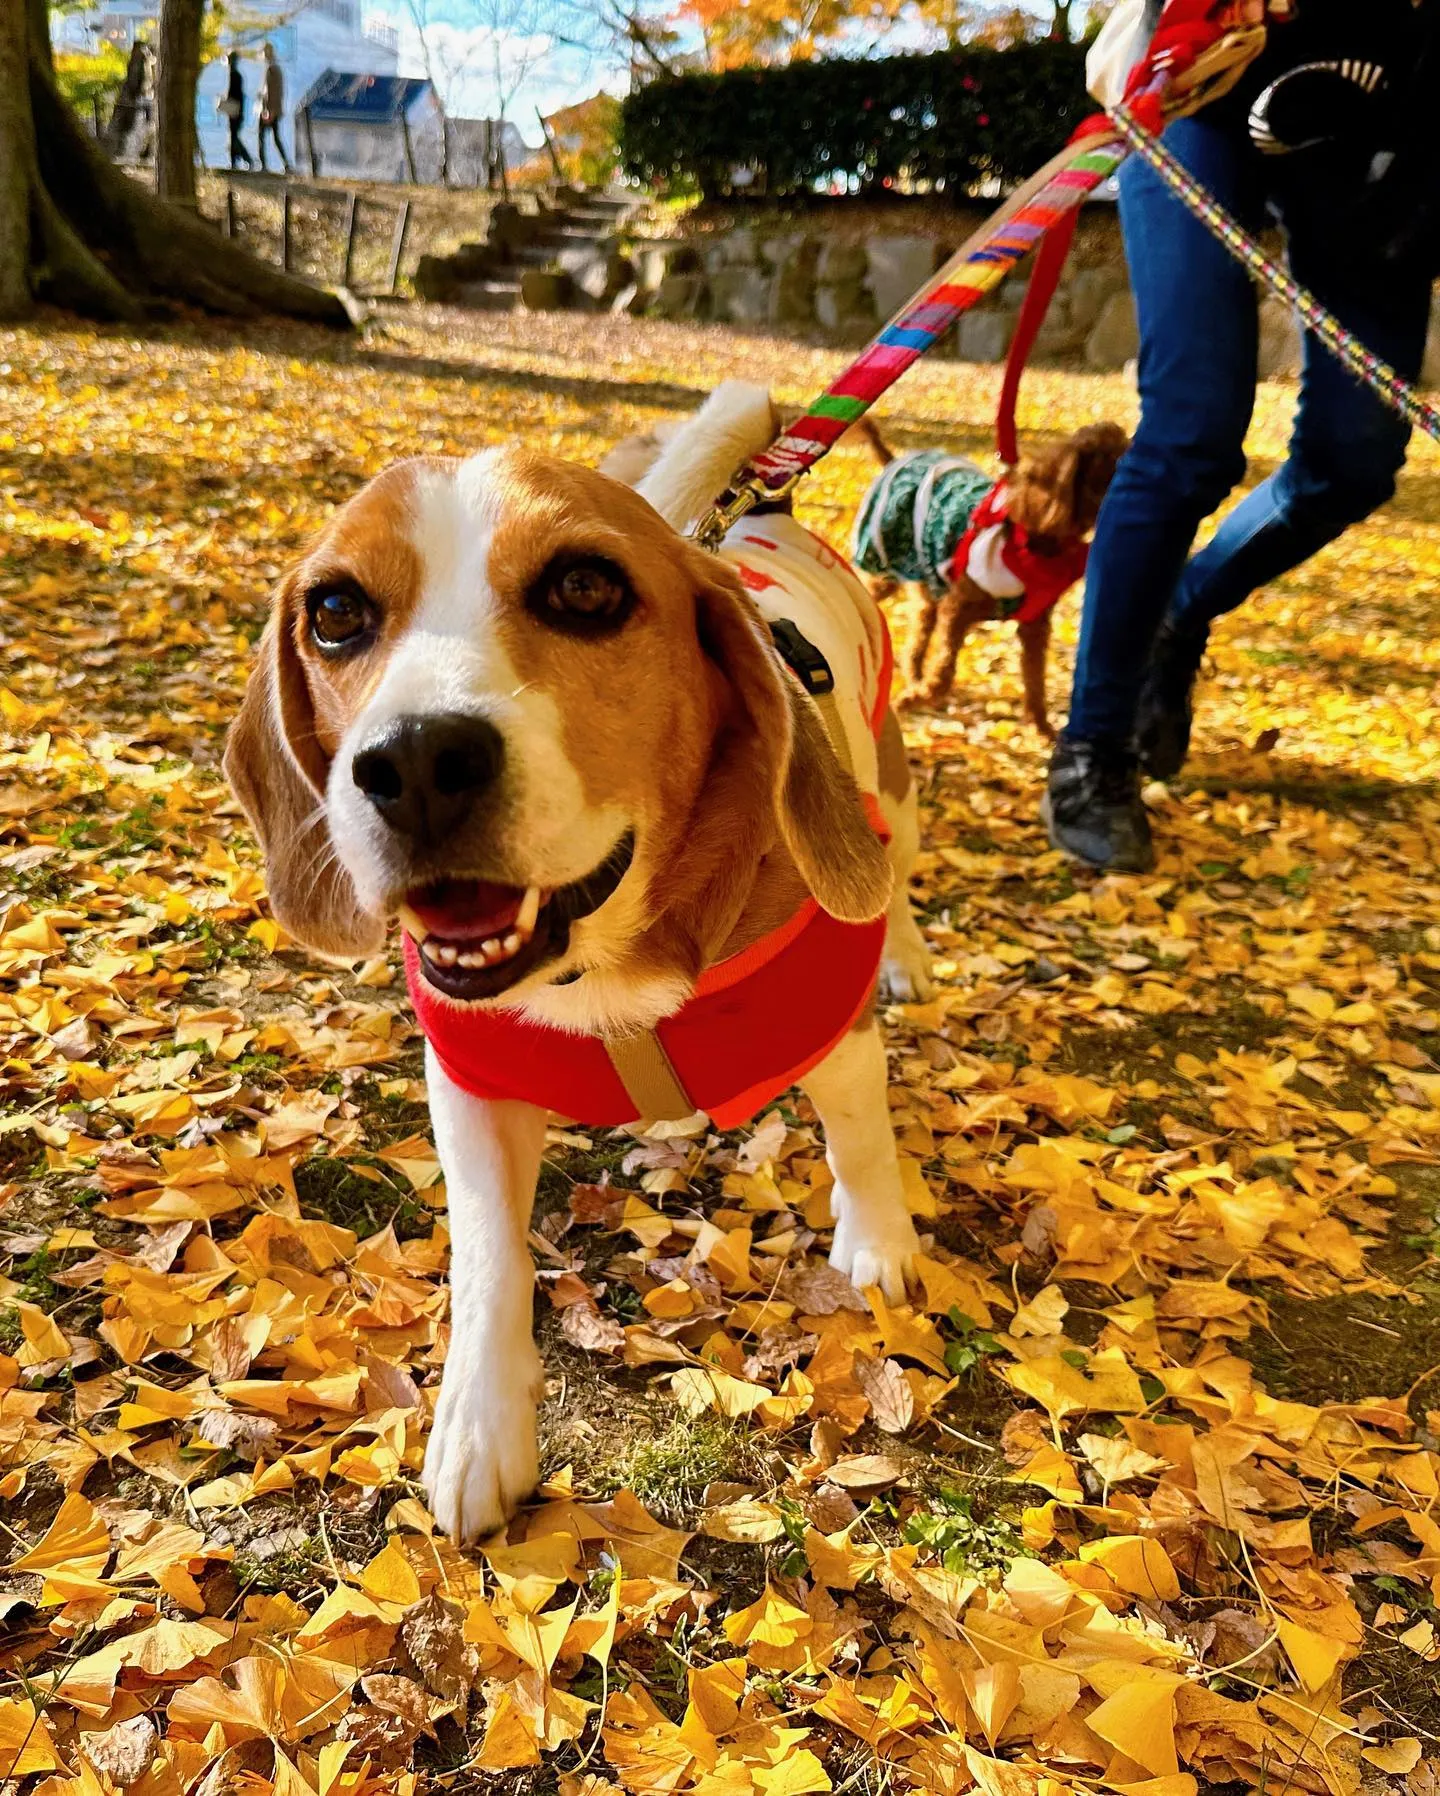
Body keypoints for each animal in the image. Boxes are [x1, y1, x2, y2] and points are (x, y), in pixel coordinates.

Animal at [224, 382, 933, 1544]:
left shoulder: (834, 1029)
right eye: (334, 611)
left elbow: (863, 1139)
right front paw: (478, 1428)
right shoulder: (470, 1080)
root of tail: (756, 513)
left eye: (586, 588)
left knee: (898, 872)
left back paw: (907, 951)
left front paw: (879, 1249)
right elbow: (488, 1259)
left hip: (894, 794)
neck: (605, 963)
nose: (416, 759)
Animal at [854, 416, 1120, 732]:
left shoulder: (1034, 624)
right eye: (1109, 472)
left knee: (919, 628)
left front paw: (1041, 729)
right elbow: (943, 675)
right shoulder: (958, 607)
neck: (1030, 542)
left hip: (927, 579)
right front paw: (912, 699)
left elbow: (1035, 679)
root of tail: (893, 461)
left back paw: (914, 675)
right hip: (886, 565)